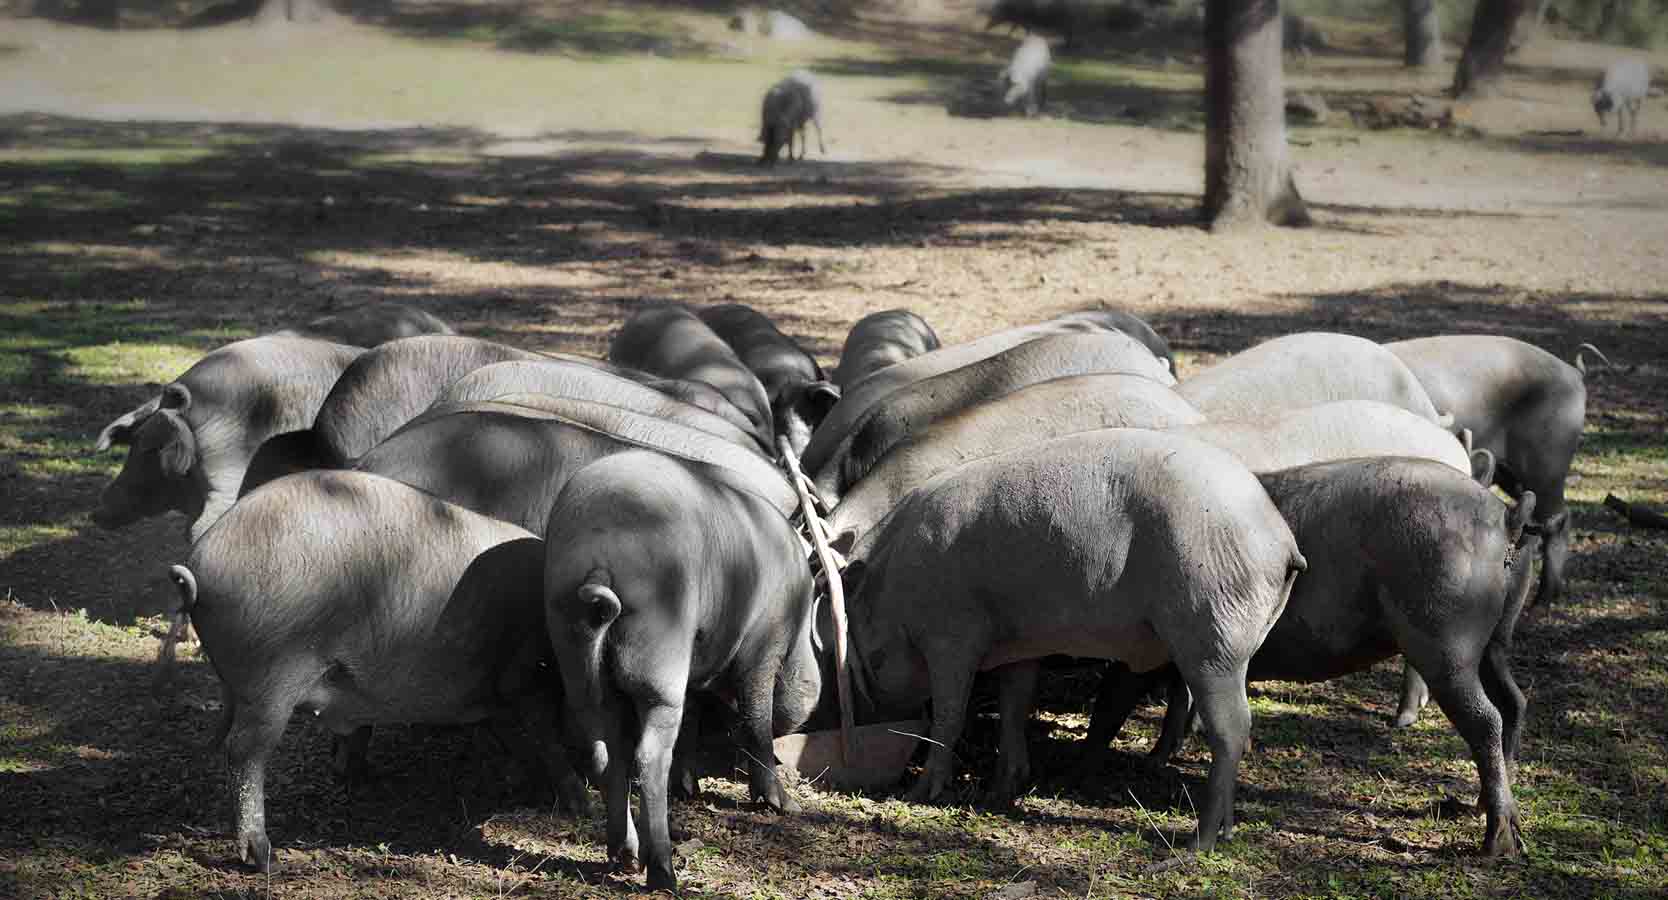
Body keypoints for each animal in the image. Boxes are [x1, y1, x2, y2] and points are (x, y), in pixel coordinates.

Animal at [157, 470, 587, 873]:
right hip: (272, 677)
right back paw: (266, 859)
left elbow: (517, 738)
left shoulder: (494, 695)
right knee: (245, 752)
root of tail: (197, 566)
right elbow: (546, 735)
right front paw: (581, 803)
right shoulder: (525, 675)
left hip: (247, 683)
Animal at [543, 453, 817, 886]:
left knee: (604, 751)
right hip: (659, 654)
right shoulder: (763, 646)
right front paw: (783, 807)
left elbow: (693, 723)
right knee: (649, 756)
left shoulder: (697, 666)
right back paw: (665, 874)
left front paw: (690, 788)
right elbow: (755, 722)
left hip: (574, 650)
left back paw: (624, 858)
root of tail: (599, 553)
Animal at [840, 433, 1294, 853]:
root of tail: (1282, 541)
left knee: (1231, 729)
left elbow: (949, 715)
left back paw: (1198, 844)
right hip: (1230, 640)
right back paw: (1227, 833)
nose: (868, 714)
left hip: (1212, 635)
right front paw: (1000, 791)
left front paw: (918, 795)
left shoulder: (952, 635)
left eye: (871, 656)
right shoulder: (1019, 643)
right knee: (1239, 728)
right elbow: (1014, 705)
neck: (896, 587)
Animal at [1094, 460, 1534, 860]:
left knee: (1486, 718)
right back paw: (1484, 809)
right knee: (1513, 701)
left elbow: (1137, 696)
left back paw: (1496, 845)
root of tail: (1505, 516)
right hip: (1494, 640)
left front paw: (1139, 758)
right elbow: (1175, 701)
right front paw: (1155, 758)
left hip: (1445, 642)